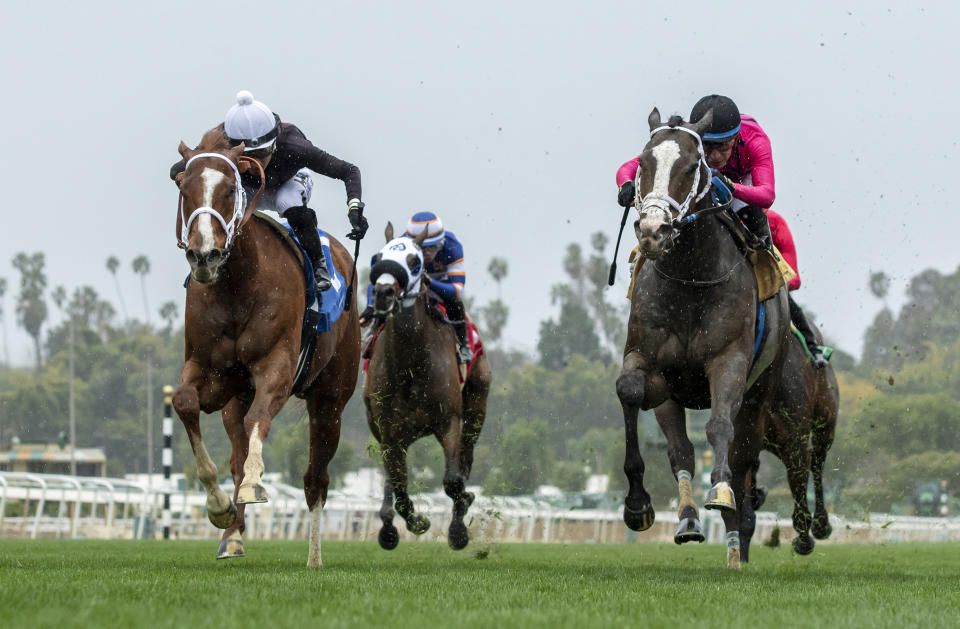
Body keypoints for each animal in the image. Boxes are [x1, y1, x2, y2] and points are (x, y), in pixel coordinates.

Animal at [169, 127, 360, 564]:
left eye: (229, 190)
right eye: (184, 188)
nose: (204, 255)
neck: (238, 286)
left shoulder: (277, 367)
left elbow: (260, 419)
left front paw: (256, 483)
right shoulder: (211, 372)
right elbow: (185, 403)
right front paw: (220, 508)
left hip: (331, 400)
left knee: (315, 477)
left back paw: (314, 557)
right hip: (236, 401)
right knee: (237, 454)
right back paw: (233, 536)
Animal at [364, 223, 492, 548]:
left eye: (414, 261)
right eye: (378, 257)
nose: (383, 293)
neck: (411, 363)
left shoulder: (449, 421)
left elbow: (453, 481)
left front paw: (459, 529)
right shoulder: (389, 432)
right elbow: (398, 484)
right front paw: (411, 523)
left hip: (476, 407)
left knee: (466, 458)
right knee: (391, 478)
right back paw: (388, 524)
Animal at [620, 108, 792, 568]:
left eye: (691, 166)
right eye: (643, 163)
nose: (653, 230)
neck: (690, 277)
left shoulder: (728, 360)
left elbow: (718, 427)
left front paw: (721, 491)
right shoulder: (648, 360)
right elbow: (631, 392)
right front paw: (637, 505)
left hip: (759, 395)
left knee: (739, 451)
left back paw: (734, 547)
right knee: (681, 450)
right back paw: (688, 521)